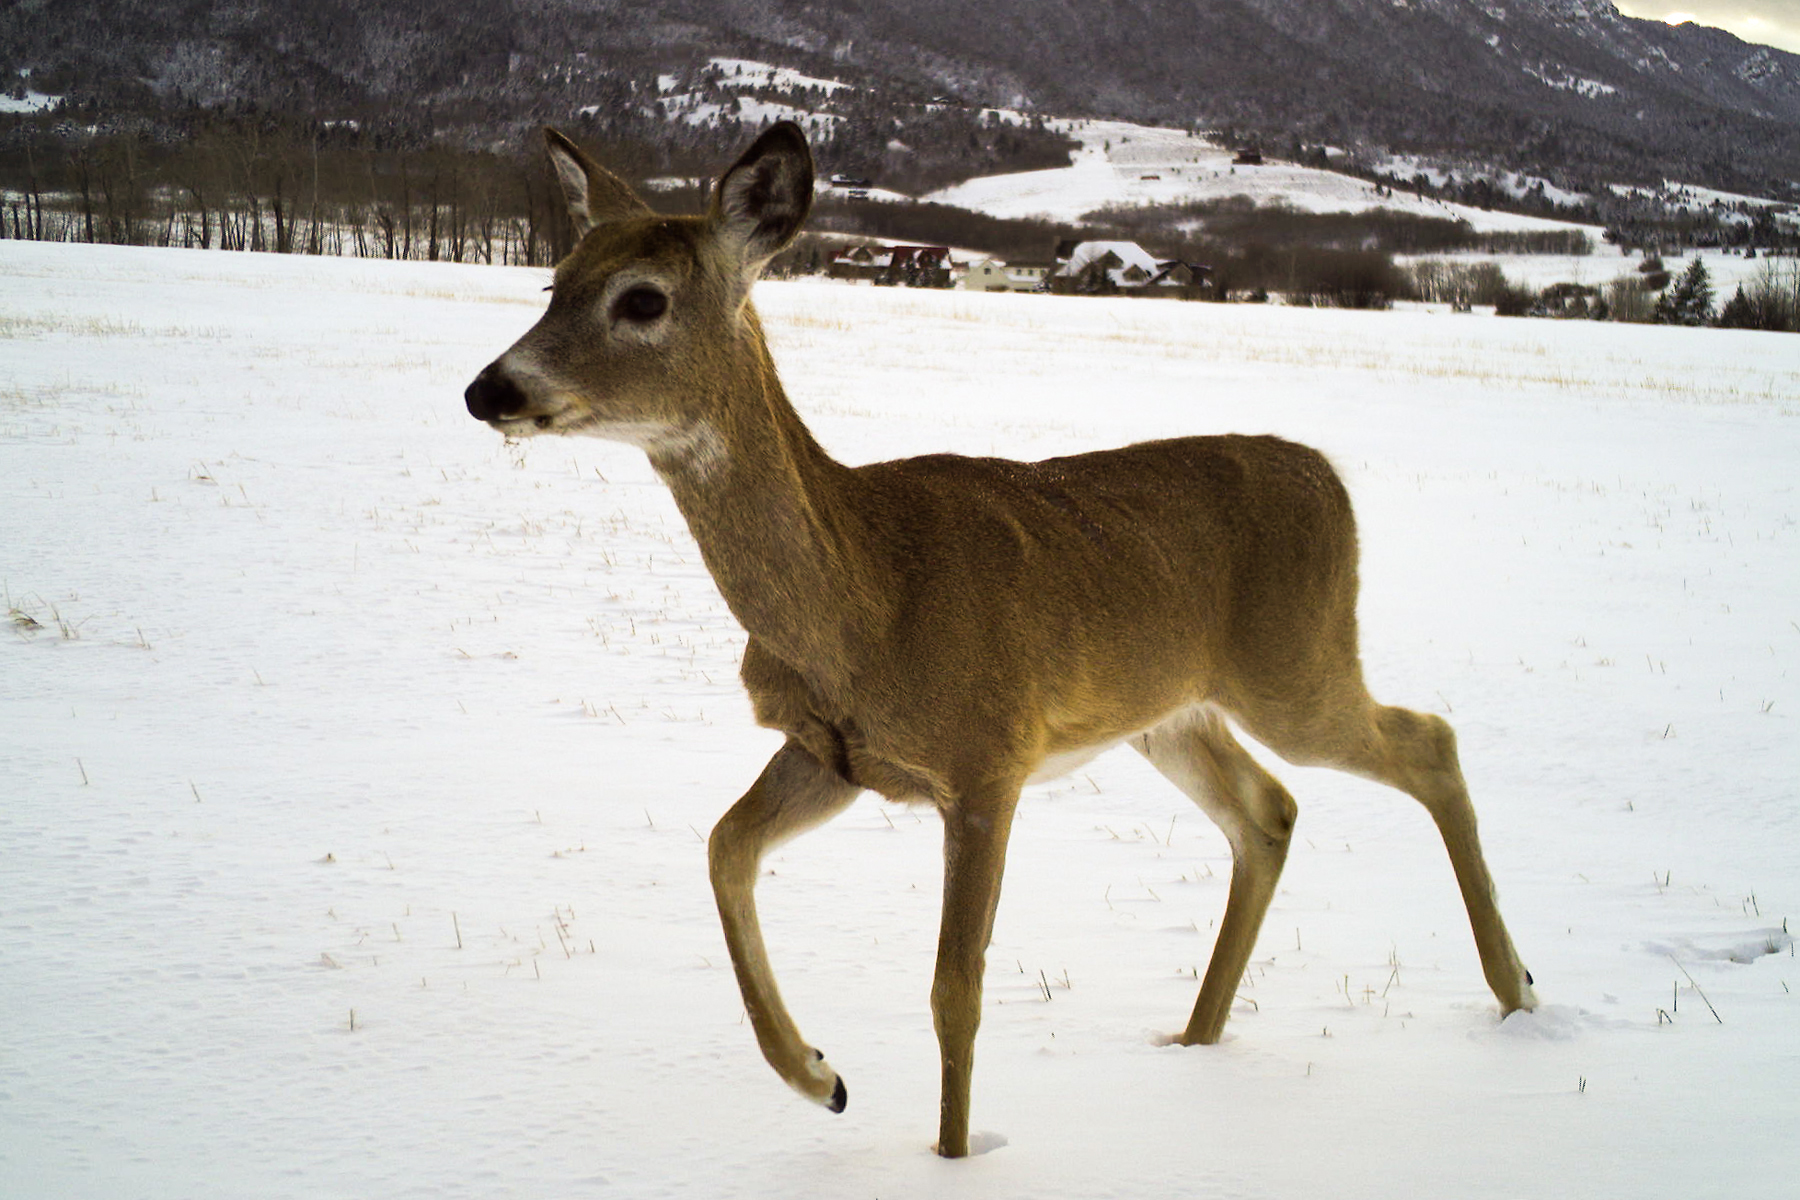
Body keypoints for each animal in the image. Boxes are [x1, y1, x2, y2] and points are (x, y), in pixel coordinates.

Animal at [464, 119, 1533, 1151]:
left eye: (642, 300)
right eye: (555, 282)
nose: (488, 390)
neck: (864, 596)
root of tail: (1328, 477)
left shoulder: (987, 759)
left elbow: (955, 991)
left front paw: (950, 1155)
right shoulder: (834, 755)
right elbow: (725, 847)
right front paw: (819, 1076)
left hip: (1294, 663)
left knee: (1427, 741)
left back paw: (1515, 991)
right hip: (1168, 711)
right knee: (1268, 811)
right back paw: (1195, 1039)